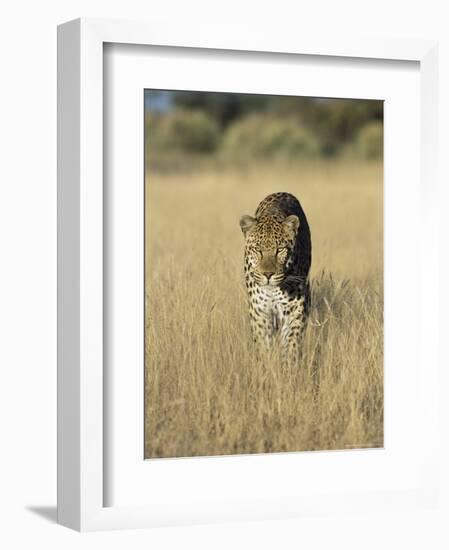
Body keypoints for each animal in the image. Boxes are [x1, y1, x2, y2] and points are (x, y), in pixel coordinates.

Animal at [238, 192, 312, 364]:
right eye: (257, 250)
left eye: (280, 250)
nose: (268, 275)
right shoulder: (260, 311)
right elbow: (263, 347)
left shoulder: (295, 309)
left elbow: (291, 344)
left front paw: (288, 368)